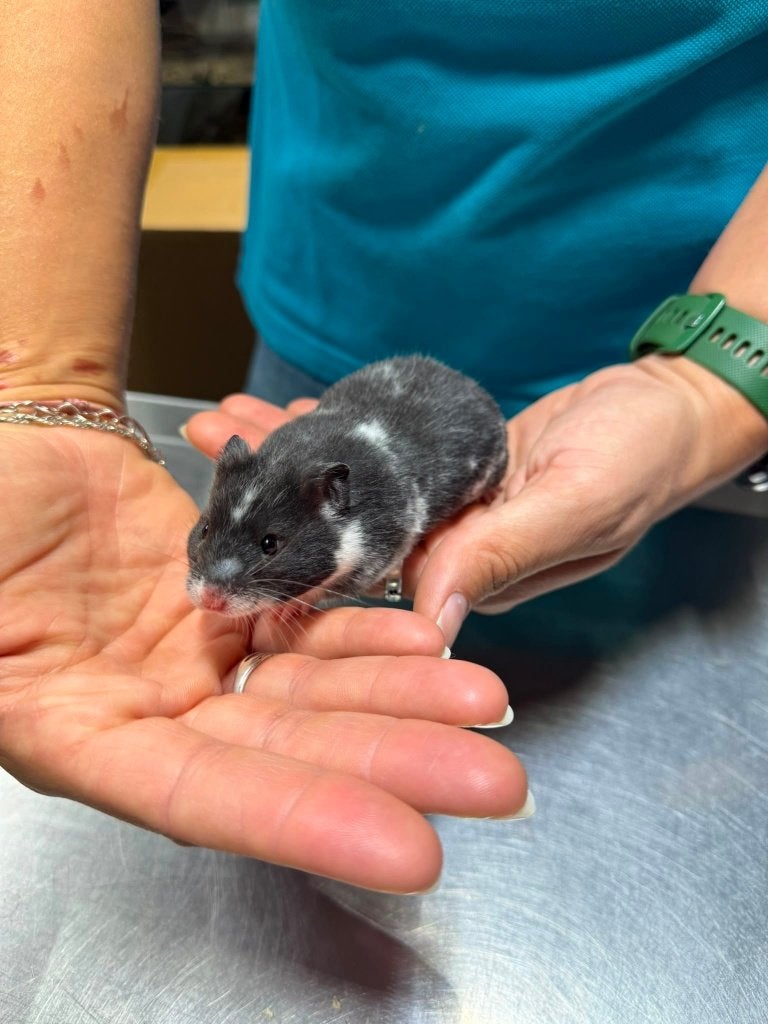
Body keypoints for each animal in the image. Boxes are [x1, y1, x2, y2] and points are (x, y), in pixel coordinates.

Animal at [186, 355, 508, 617]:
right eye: (205, 529)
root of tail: (467, 381)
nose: (209, 602)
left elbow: (328, 589)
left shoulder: (378, 556)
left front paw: (286, 611)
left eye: (270, 544)